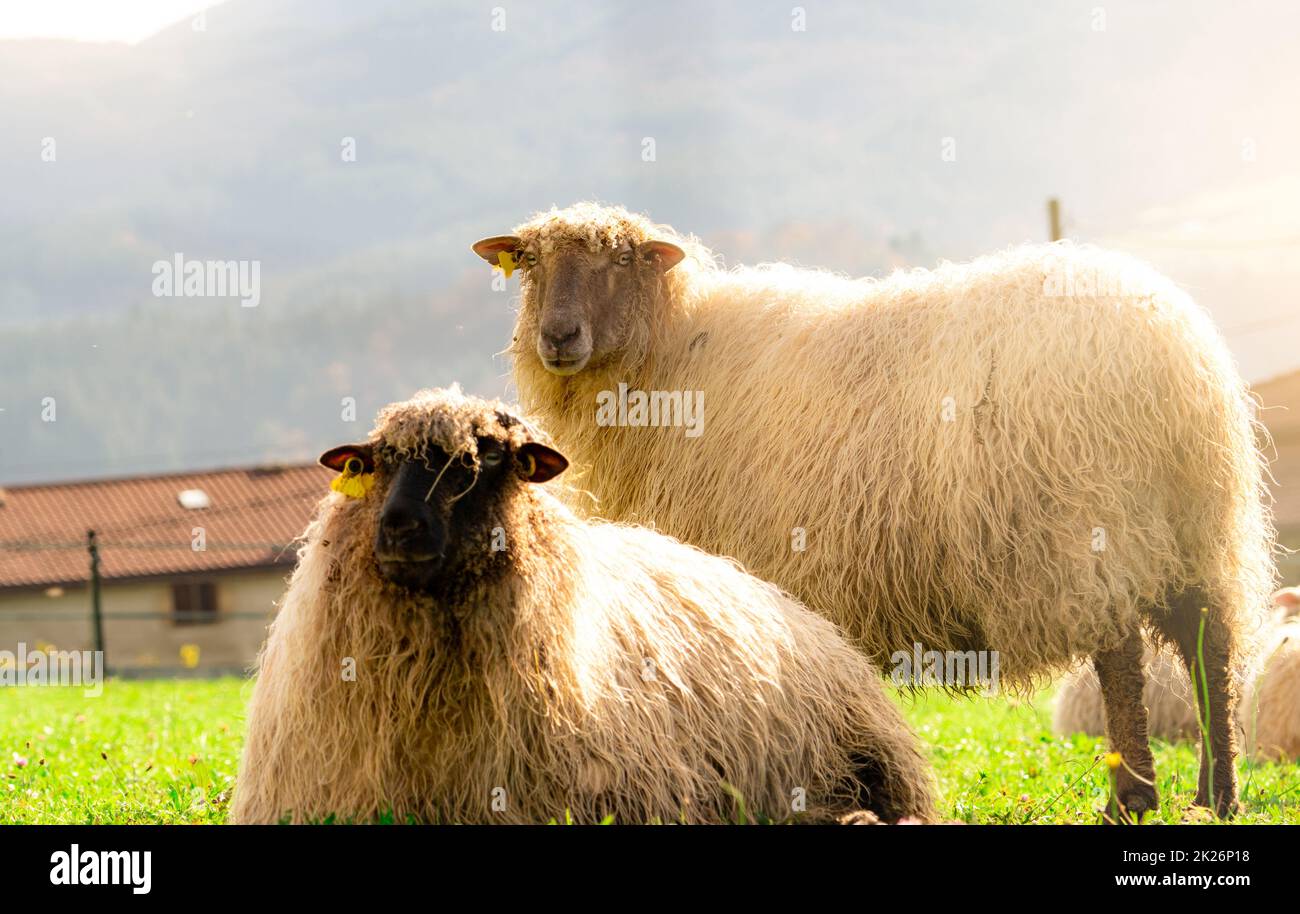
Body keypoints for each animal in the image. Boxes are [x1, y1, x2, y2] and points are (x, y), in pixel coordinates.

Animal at [473, 202, 1276, 820]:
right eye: (533, 264)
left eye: (620, 261)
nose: (558, 337)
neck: (671, 357)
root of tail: (1174, 352)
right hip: (1194, 523)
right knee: (1211, 648)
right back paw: (1218, 796)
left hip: (1087, 525)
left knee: (1123, 662)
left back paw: (1131, 799)